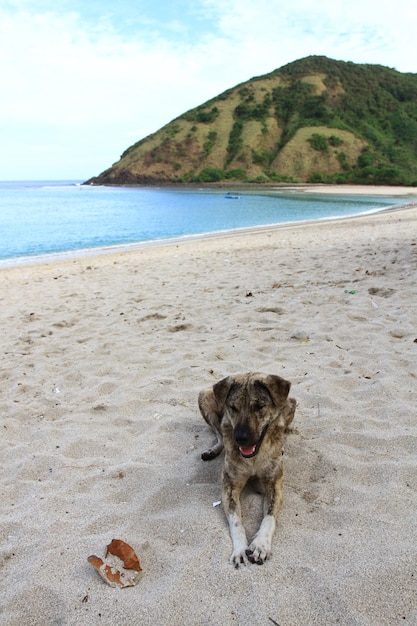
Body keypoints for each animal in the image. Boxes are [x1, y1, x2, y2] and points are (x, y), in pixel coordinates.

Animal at [198, 370, 296, 564]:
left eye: (259, 406)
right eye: (233, 407)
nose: (241, 439)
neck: (253, 458)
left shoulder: (275, 485)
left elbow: (269, 517)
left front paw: (260, 544)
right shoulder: (230, 487)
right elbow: (236, 521)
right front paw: (240, 549)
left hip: (291, 402)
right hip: (204, 396)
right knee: (219, 434)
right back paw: (213, 450)